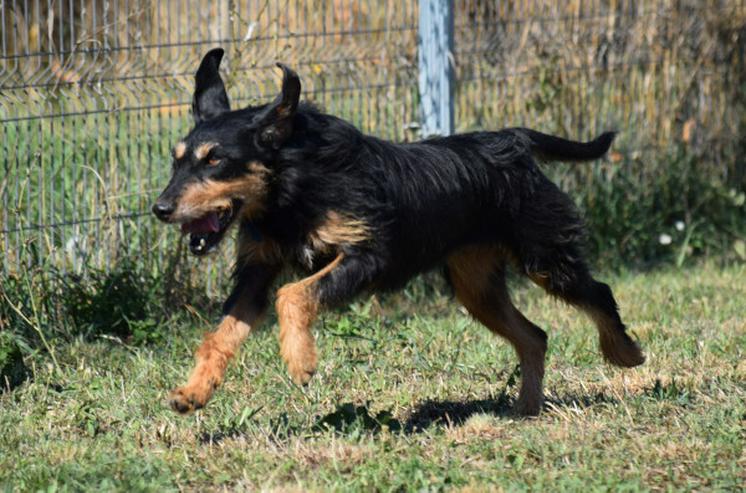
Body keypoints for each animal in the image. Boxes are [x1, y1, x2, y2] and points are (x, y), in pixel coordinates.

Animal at [151, 49, 640, 416]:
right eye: (176, 159)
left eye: (215, 159)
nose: (160, 209)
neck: (293, 185)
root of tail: (511, 140)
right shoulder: (257, 271)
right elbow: (221, 335)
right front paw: (194, 392)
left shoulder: (369, 255)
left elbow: (292, 295)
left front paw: (300, 359)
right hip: (476, 286)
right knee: (535, 335)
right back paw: (527, 407)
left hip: (544, 256)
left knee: (599, 293)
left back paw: (624, 353)